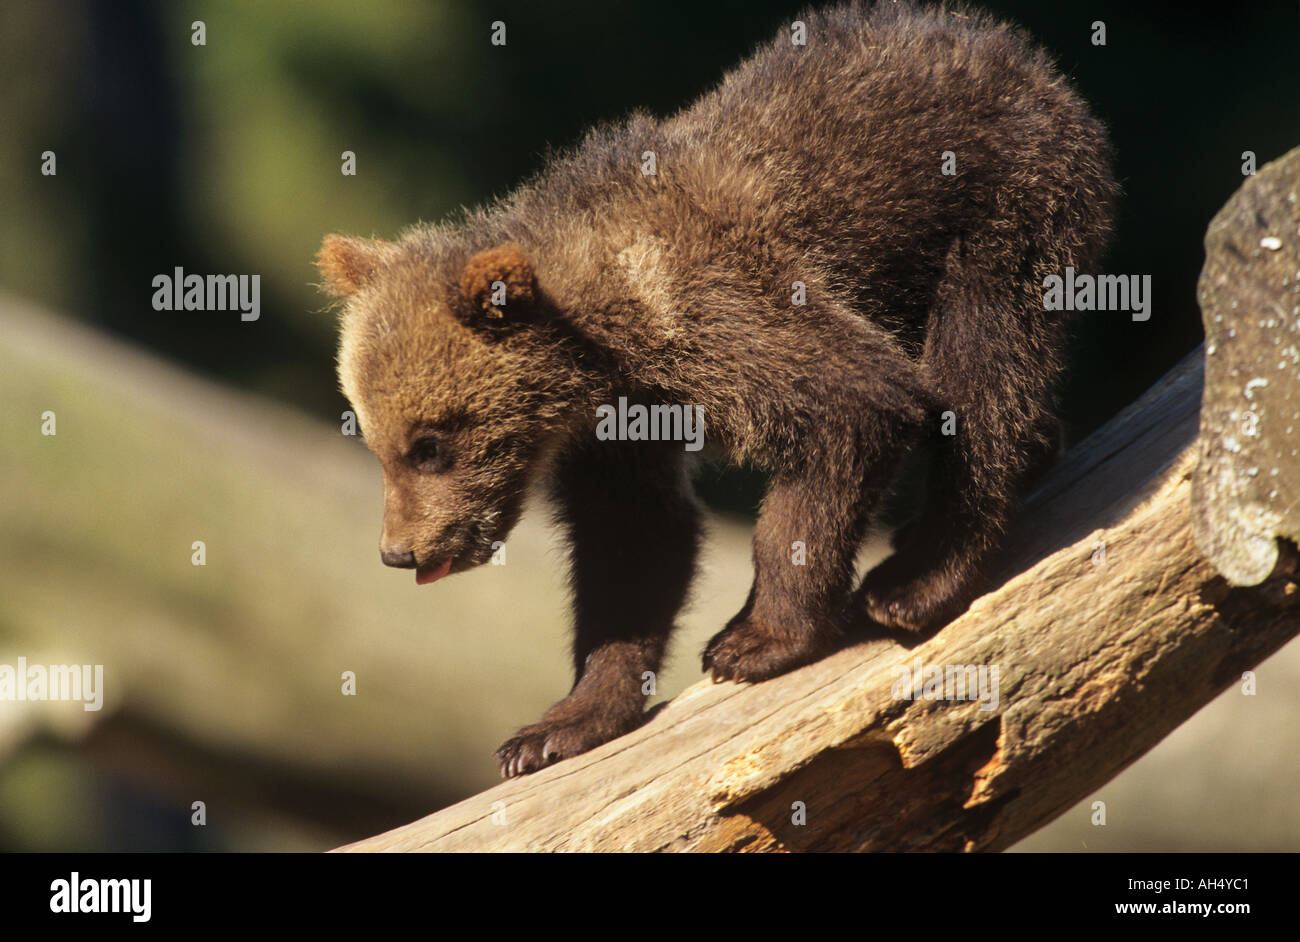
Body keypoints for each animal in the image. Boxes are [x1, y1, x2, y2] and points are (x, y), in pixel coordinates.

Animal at [316, 0, 1116, 778]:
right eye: (377, 442)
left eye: (429, 444)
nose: (398, 552)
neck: (604, 339)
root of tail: (1011, 47)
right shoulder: (618, 425)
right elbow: (632, 540)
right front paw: (558, 726)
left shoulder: (720, 313)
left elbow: (854, 410)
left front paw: (755, 639)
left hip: (999, 208)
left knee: (980, 373)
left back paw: (917, 577)